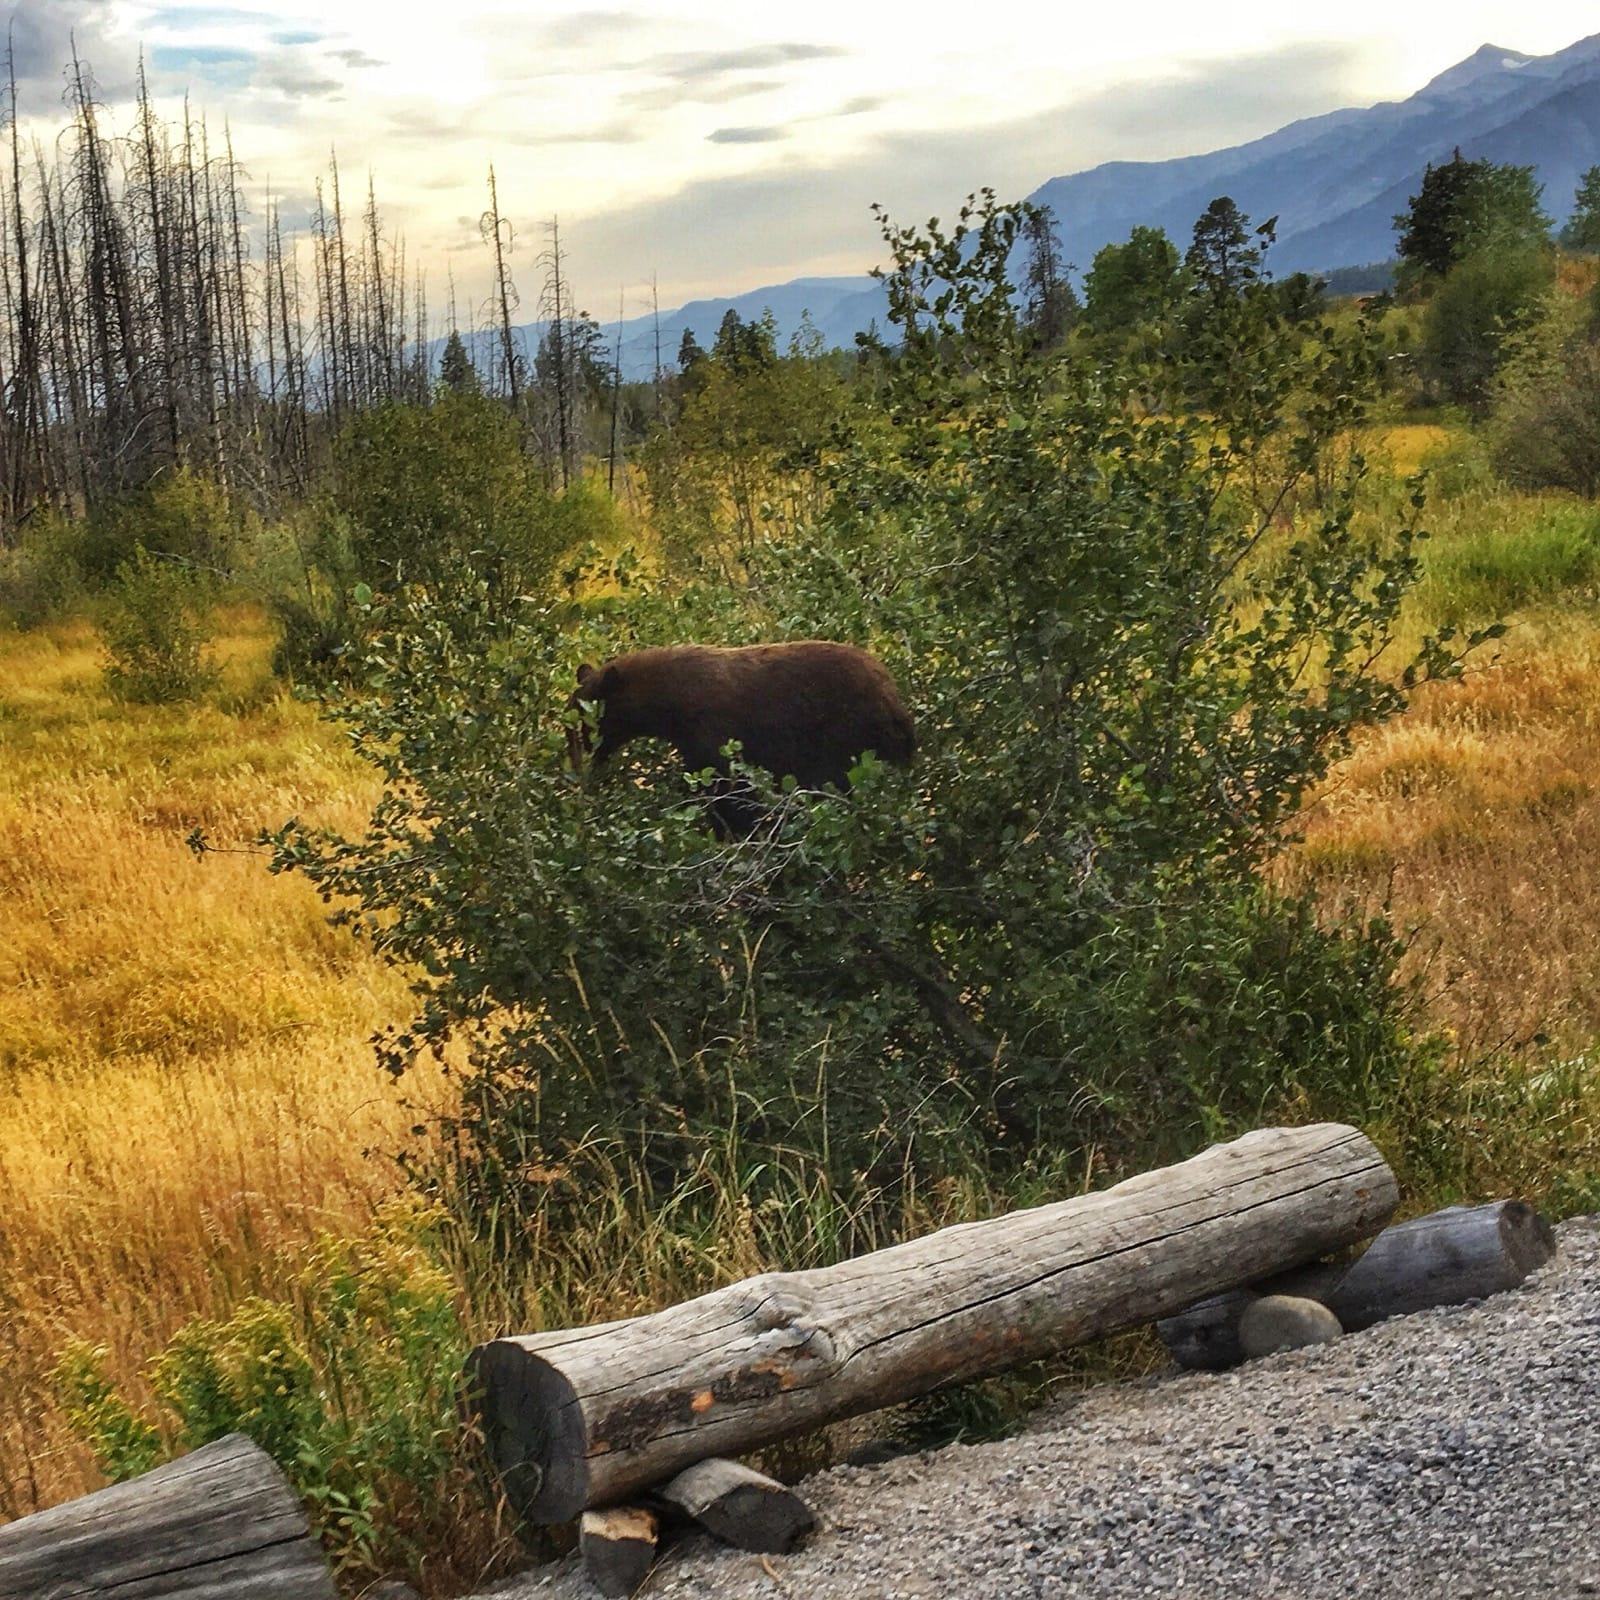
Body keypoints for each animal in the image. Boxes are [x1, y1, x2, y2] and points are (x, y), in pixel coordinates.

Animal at [568, 641, 915, 831]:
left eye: (587, 721)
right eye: (569, 723)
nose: (579, 760)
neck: (672, 703)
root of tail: (891, 694)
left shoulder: (714, 731)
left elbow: (728, 790)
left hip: (847, 731)